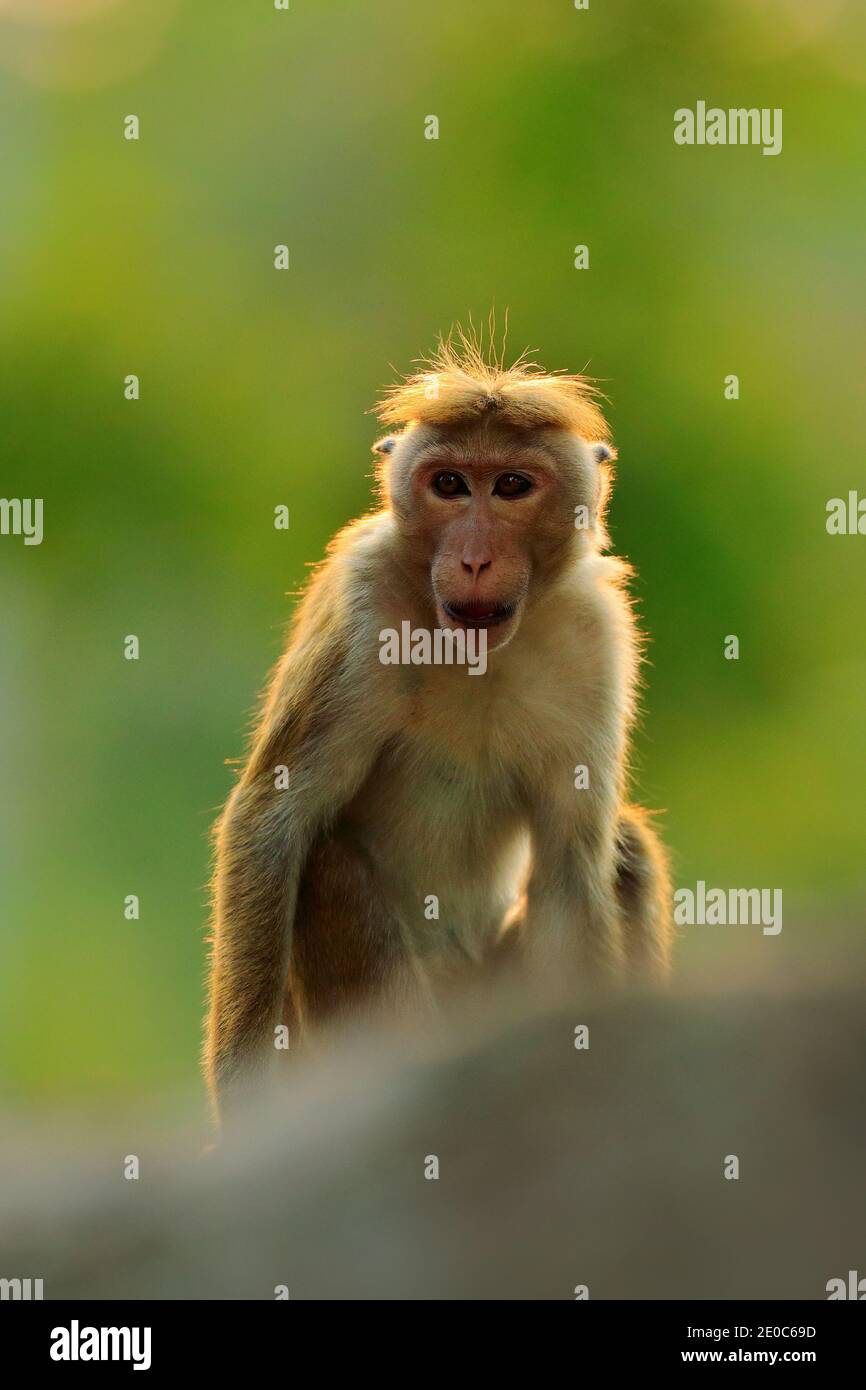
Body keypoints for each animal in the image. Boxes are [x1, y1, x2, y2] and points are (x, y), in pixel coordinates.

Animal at [204, 335, 671, 1116]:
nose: (474, 557)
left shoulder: (596, 635)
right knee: (327, 863)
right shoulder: (363, 605)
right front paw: (244, 1098)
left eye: (511, 486)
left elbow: (572, 867)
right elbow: (273, 821)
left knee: (623, 847)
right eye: (449, 484)